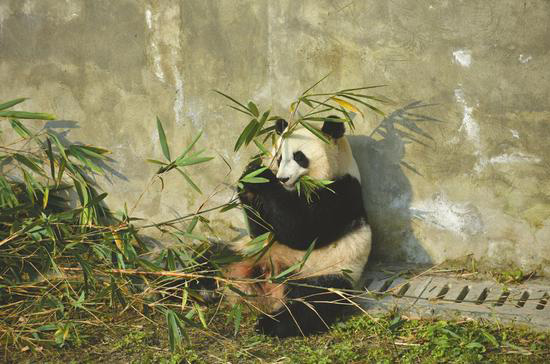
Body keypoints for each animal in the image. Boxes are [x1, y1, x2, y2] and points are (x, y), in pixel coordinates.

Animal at [225, 116, 376, 338]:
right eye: (279, 158)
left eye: (299, 157)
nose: (282, 179)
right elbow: (262, 232)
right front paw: (250, 176)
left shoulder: (342, 194)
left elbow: (302, 231)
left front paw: (263, 178)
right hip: (244, 252)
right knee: (207, 259)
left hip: (326, 272)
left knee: (312, 303)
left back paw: (271, 323)